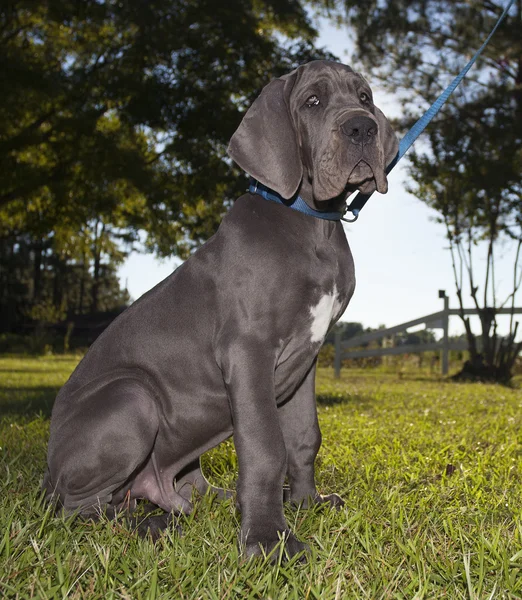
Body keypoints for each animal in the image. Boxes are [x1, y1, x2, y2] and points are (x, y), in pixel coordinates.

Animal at [44, 59, 396, 556]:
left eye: (364, 97)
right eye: (312, 101)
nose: (363, 127)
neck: (311, 222)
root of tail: (46, 475)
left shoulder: (307, 356)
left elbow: (304, 436)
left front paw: (307, 502)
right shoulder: (248, 349)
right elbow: (266, 446)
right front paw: (268, 540)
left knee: (183, 489)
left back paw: (205, 505)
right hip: (132, 396)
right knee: (80, 511)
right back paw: (145, 525)